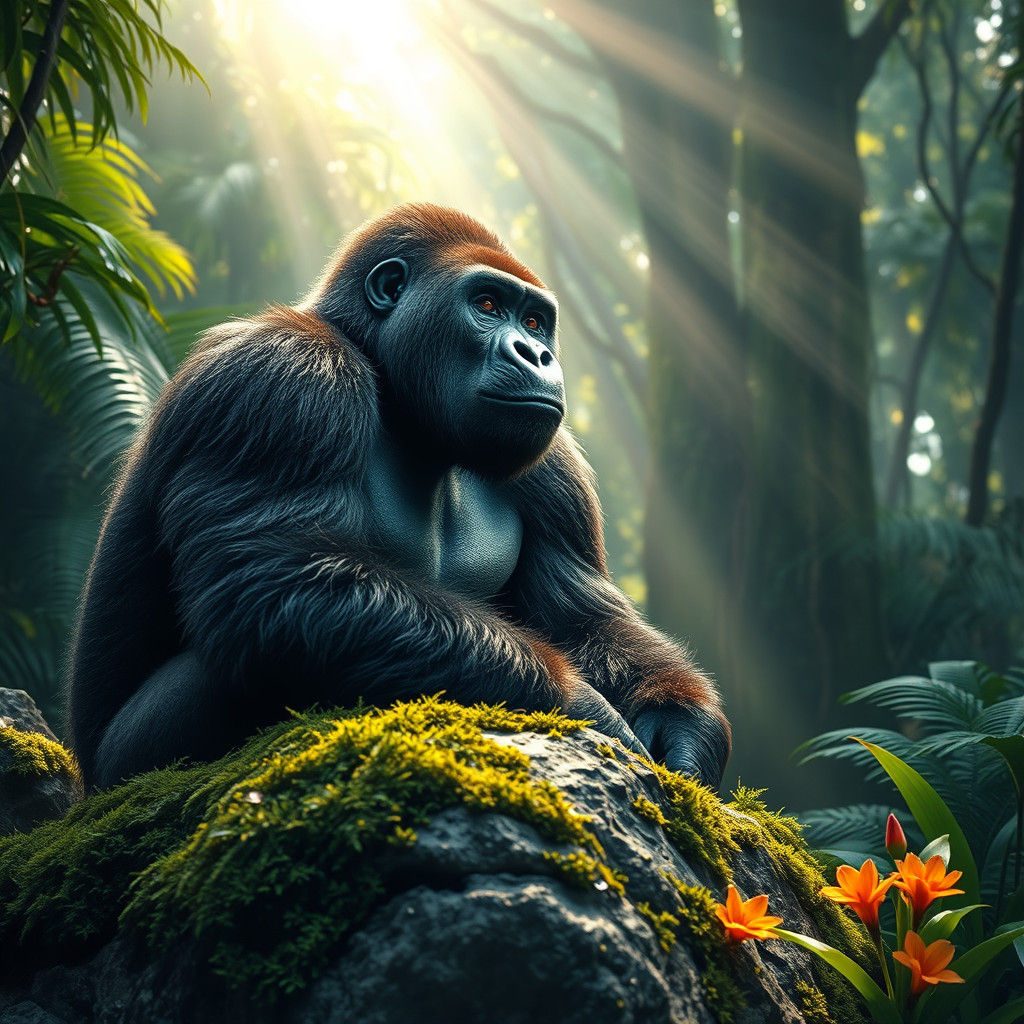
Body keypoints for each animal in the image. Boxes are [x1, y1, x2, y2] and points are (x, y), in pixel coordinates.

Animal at [67, 203, 730, 791]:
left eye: (536, 322)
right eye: (487, 305)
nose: (537, 354)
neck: (386, 377)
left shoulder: (553, 463)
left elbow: (585, 618)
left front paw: (684, 728)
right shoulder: (277, 373)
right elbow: (274, 573)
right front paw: (580, 704)